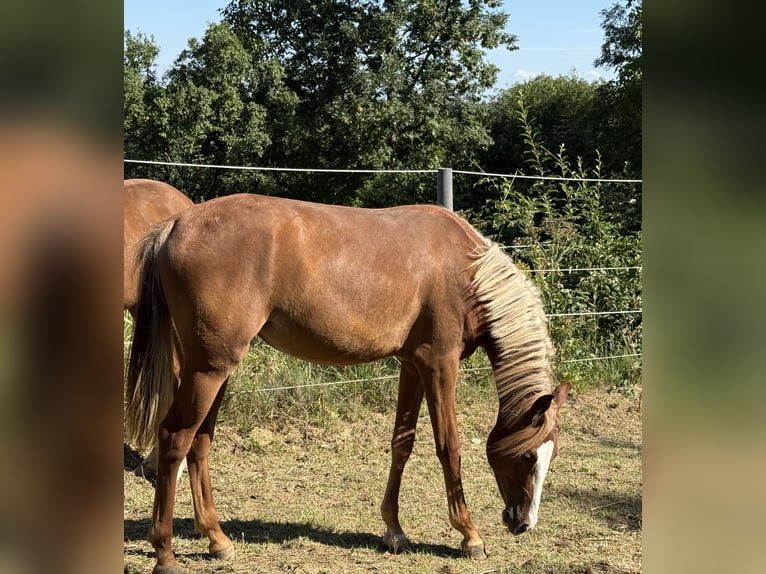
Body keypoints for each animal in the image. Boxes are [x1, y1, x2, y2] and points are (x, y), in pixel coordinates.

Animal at [126, 193, 569, 574]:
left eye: (552, 456)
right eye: (528, 456)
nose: (523, 524)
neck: (466, 269)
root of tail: (176, 224)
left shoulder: (412, 365)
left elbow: (402, 442)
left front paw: (394, 531)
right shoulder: (439, 365)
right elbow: (449, 446)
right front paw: (470, 534)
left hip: (215, 369)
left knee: (200, 442)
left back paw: (217, 540)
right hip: (209, 370)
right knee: (175, 437)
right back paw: (164, 552)